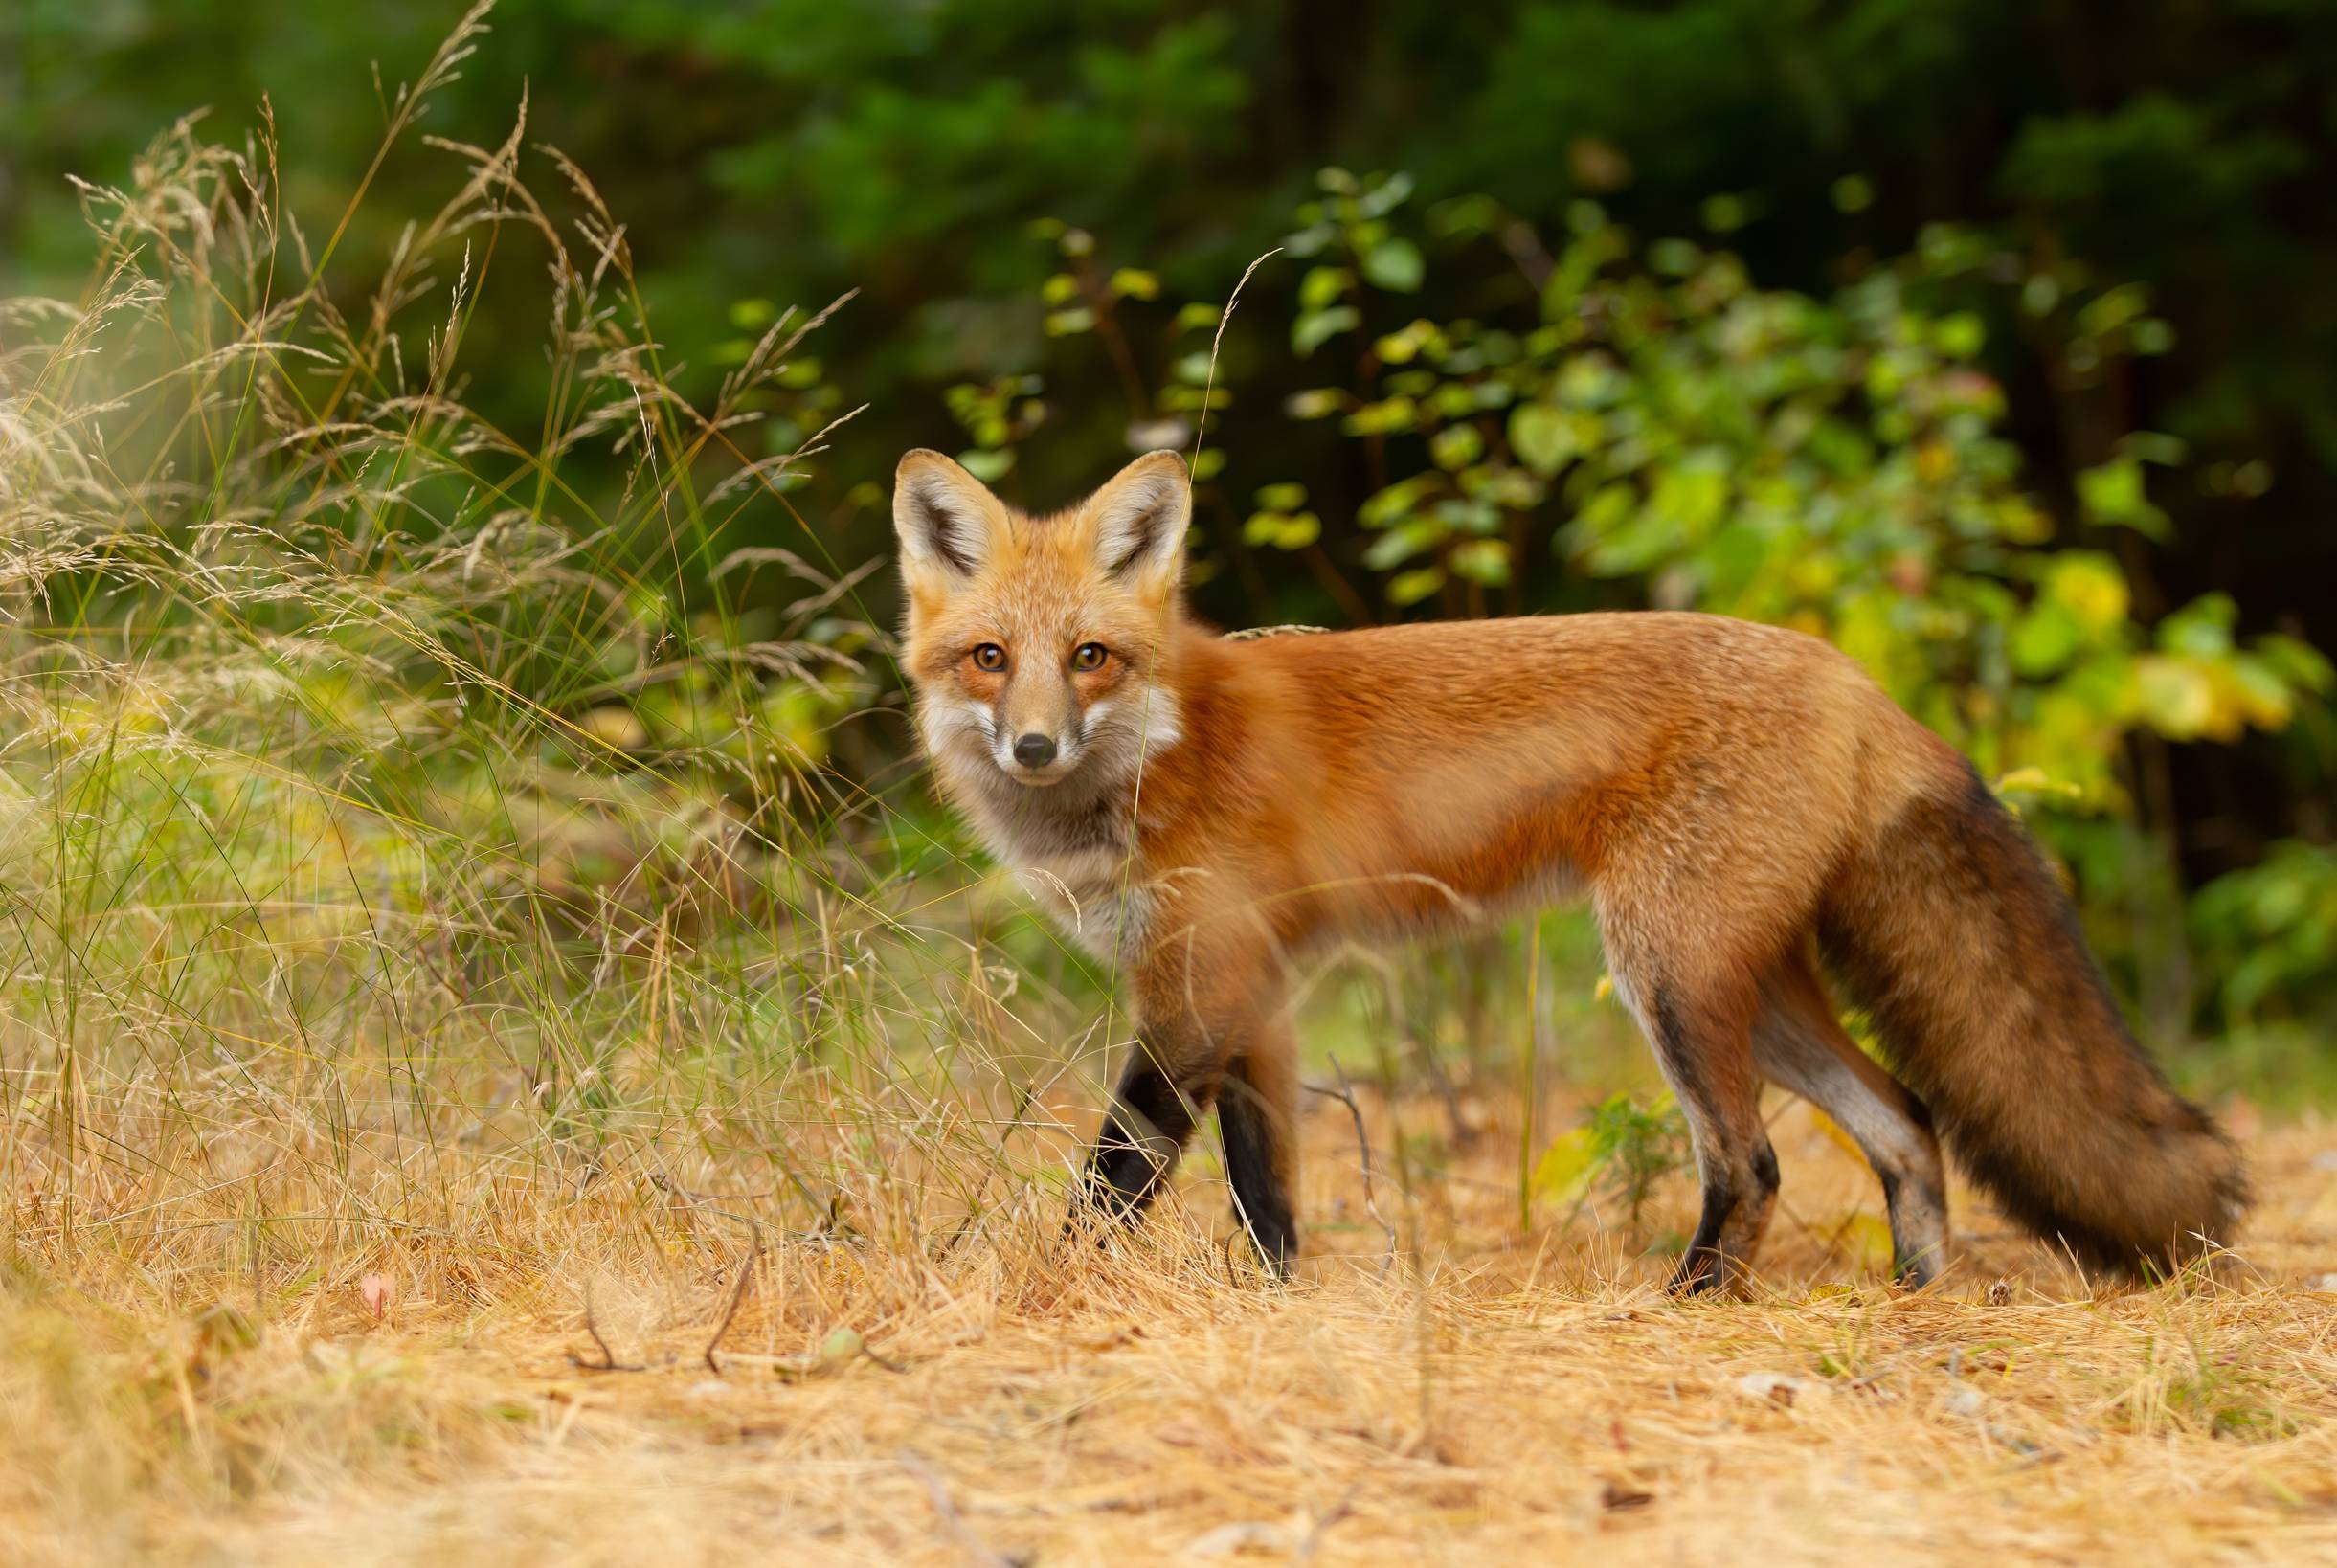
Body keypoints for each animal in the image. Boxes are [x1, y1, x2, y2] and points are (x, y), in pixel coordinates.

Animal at [892, 448, 2243, 1289]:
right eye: (988, 657)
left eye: (1090, 657)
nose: (1030, 747)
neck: (1163, 746)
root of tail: (1853, 679)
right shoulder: (1249, 997)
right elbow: (1265, 1193)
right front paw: (1278, 1315)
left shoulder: (1198, 983)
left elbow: (1114, 1178)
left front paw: (1050, 1297)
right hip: (1749, 986)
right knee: (1907, 1125)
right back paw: (1914, 1307)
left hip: (1668, 979)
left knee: (1748, 1162)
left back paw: (1685, 1306)